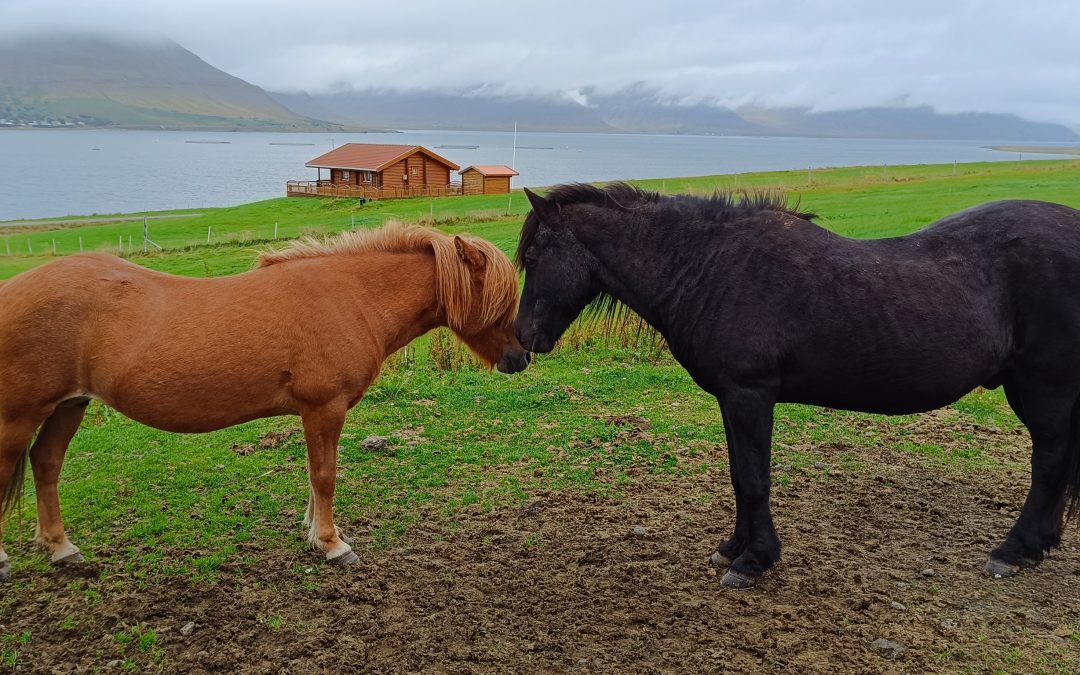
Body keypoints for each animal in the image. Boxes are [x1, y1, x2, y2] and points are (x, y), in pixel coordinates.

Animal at [0, 222, 531, 578]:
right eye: (499, 299)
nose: (522, 356)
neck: (351, 296)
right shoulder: (324, 407)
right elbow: (325, 476)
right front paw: (333, 544)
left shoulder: (314, 413)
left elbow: (314, 478)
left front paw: (314, 534)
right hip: (19, 416)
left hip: (69, 406)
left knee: (46, 464)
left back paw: (62, 549)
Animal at [511, 181, 1080, 587]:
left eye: (534, 258)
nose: (521, 342)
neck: (710, 265)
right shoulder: (732, 399)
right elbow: (739, 476)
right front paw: (734, 547)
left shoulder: (750, 395)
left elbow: (754, 478)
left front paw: (754, 562)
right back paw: (1036, 545)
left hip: (1046, 389)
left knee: (1049, 463)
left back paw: (1012, 550)